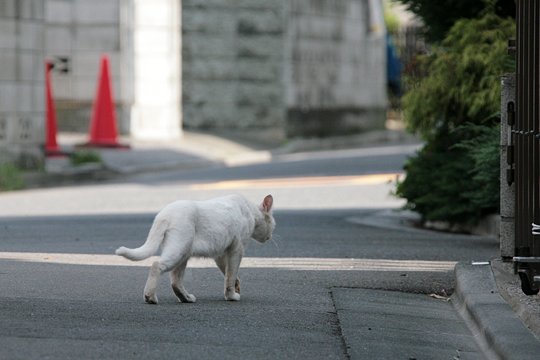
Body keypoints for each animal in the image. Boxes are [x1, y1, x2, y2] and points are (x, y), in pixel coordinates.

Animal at [114, 194, 274, 304]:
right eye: (273, 223)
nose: (270, 236)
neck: (251, 212)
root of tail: (164, 213)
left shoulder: (221, 254)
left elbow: (228, 273)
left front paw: (236, 287)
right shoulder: (237, 249)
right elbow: (231, 274)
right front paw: (232, 296)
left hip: (183, 254)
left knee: (175, 281)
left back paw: (186, 298)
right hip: (178, 250)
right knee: (157, 265)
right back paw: (150, 297)